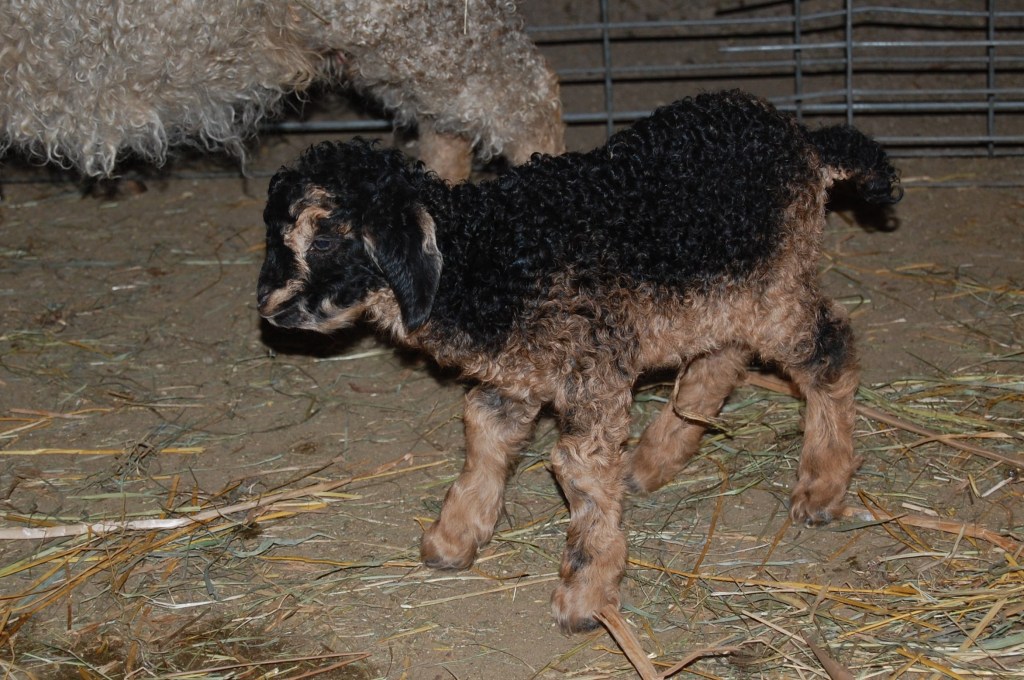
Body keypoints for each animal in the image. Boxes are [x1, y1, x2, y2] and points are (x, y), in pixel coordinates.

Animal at [255, 90, 902, 632]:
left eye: (325, 238)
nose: (270, 308)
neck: (488, 258)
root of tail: (806, 142)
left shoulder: (591, 373)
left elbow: (579, 471)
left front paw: (584, 597)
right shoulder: (519, 374)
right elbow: (483, 431)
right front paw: (453, 539)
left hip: (773, 286)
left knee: (829, 353)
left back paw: (822, 487)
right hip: (719, 291)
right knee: (720, 360)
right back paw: (651, 462)